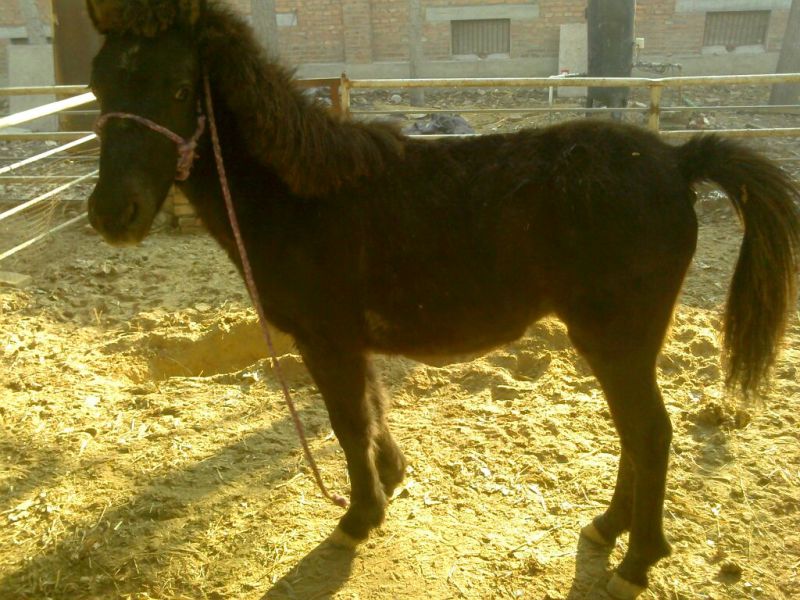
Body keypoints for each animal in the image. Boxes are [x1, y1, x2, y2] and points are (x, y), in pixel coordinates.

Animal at [84, 1, 800, 597]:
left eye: (180, 87)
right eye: (98, 84)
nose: (112, 214)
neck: (303, 197)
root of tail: (677, 161)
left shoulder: (325, 338)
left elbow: (349, 423)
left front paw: (359, 516)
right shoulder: (347, 342)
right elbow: (371, 412)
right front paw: (393, 478)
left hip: (616, 340)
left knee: (649, 433)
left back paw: (638, 561)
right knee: (635, 433)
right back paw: (605, 527)